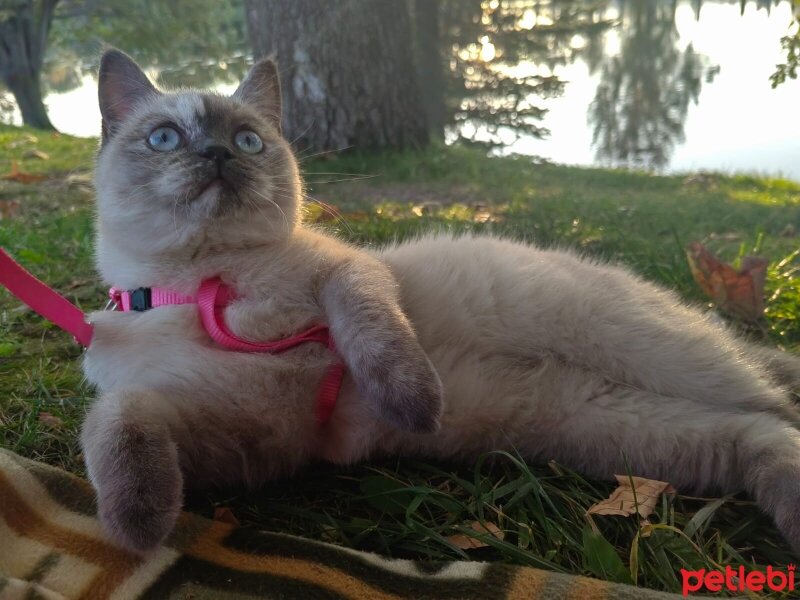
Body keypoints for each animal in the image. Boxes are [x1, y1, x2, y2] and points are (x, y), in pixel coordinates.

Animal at [79, 50, 800, 556]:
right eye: (165, 138)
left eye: (250, 141)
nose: (218, 154)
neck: (208, 284)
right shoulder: (245, 437)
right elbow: (117, 422)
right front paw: (137, 530)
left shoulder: (351, 276)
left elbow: (380, 342)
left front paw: (417, 408)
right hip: (624, 427)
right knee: (760, 429)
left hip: (659, 356)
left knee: (772, 397)